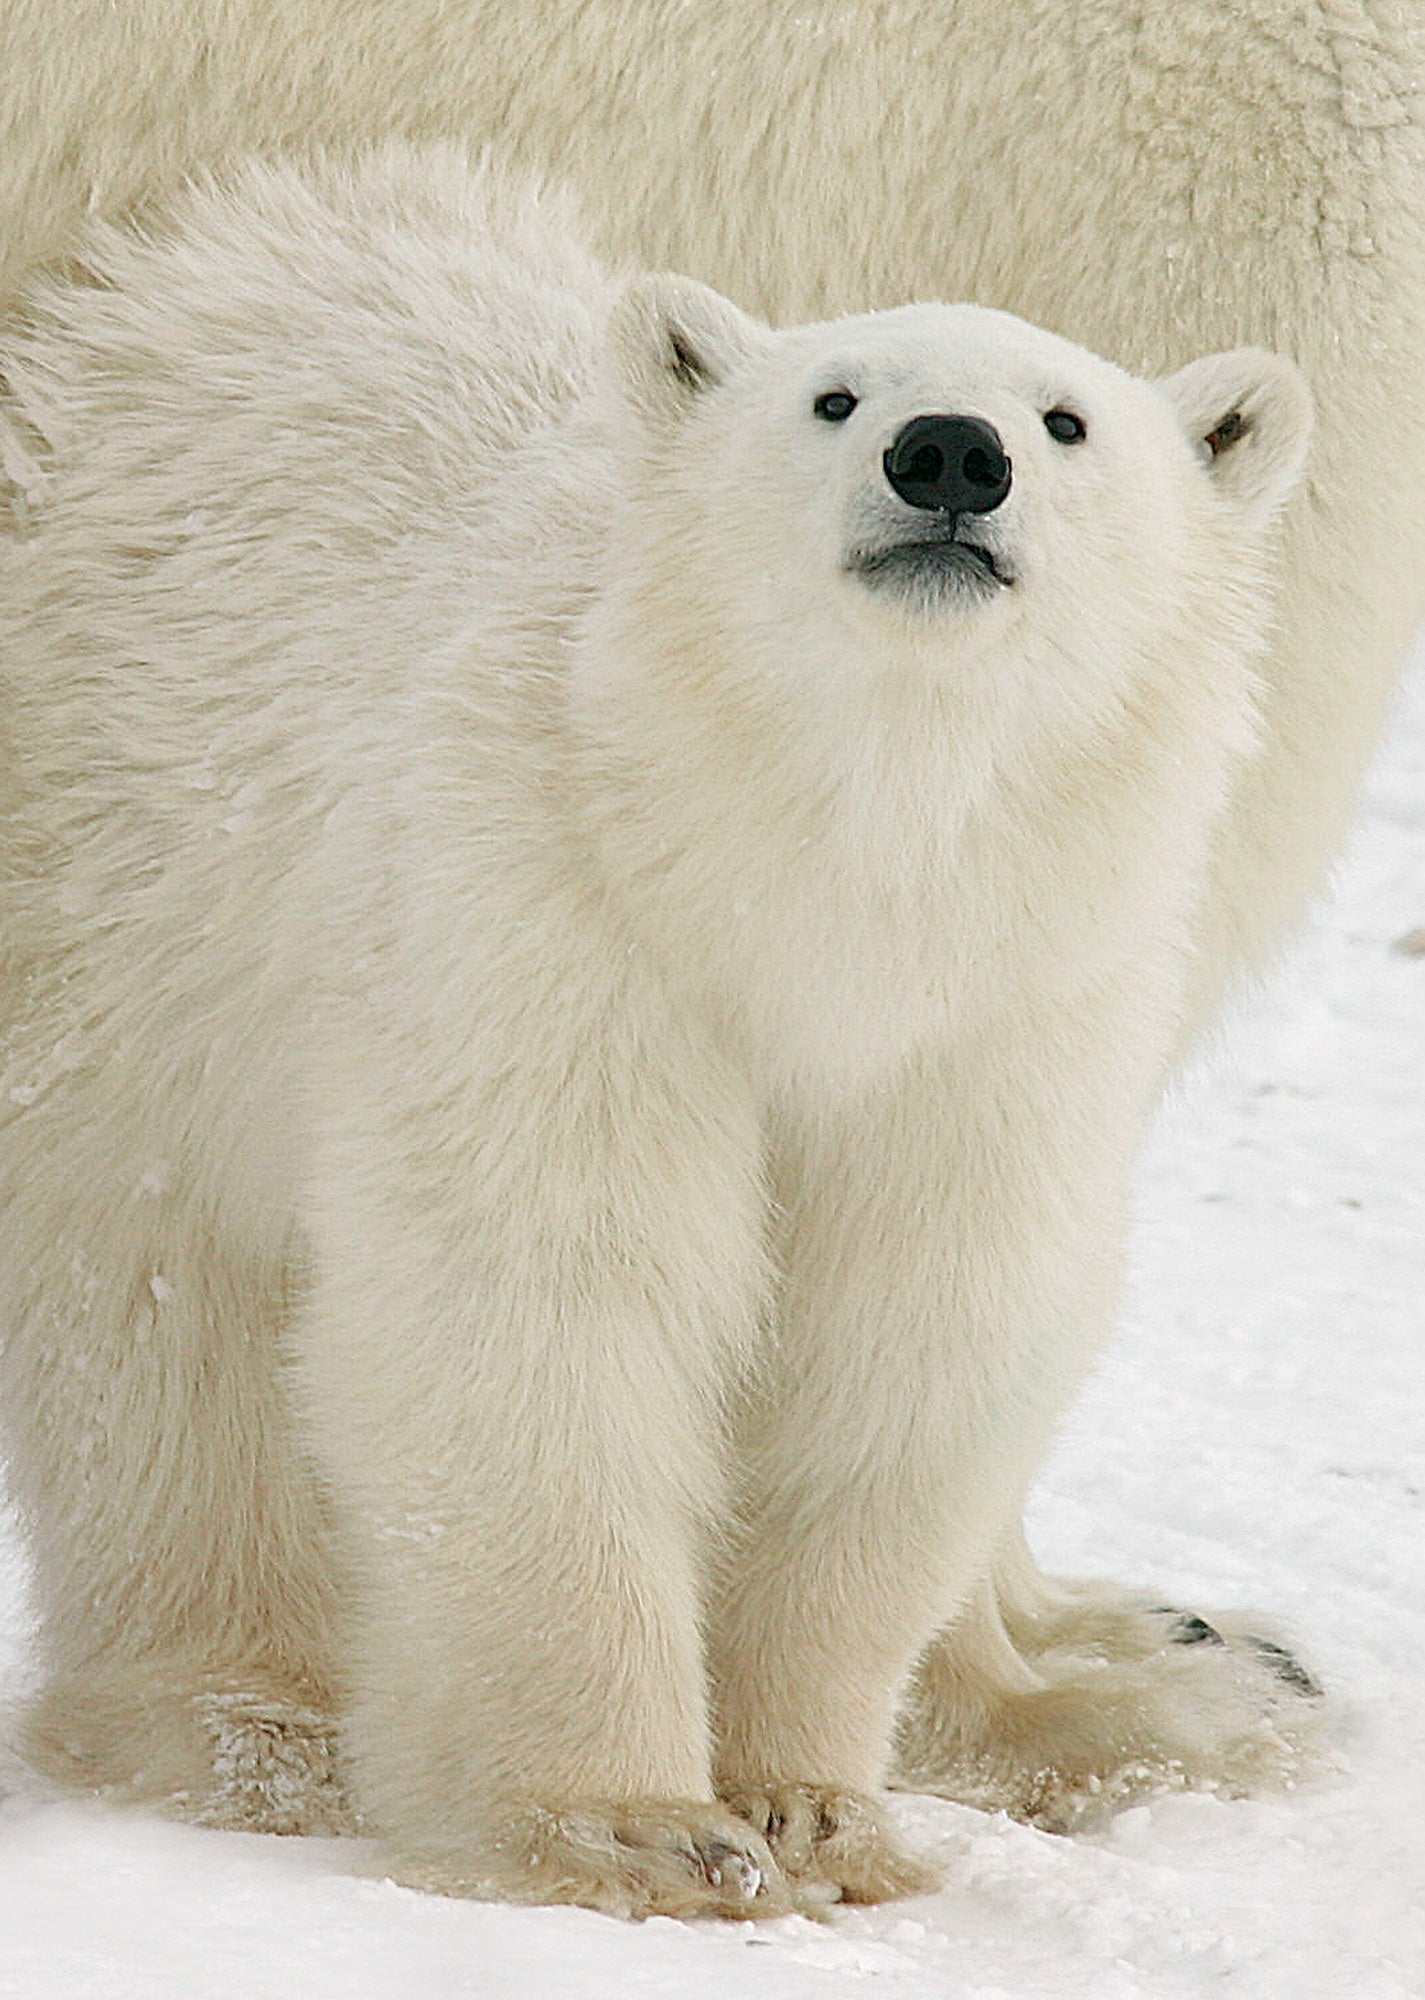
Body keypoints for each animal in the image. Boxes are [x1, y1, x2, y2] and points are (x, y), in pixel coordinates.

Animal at [0, 0, 1417, 1826]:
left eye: (1066, 424)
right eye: (833, 398)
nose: (951, 456)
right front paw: (1108, 1699)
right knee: (160, 1256)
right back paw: (254, 1711)